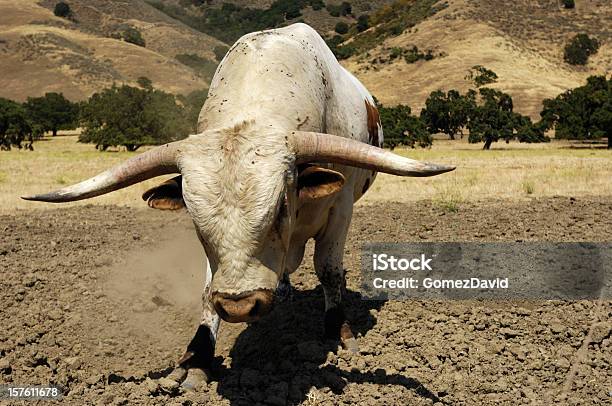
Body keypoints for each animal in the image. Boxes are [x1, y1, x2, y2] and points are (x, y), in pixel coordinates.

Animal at [25, 23, 454, 390]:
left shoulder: (341, 208)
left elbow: (329, 271)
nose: (240, 305)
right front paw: (197, 360)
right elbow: (206, 290)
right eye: (195, 220)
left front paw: (341, 336)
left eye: (280, 207)